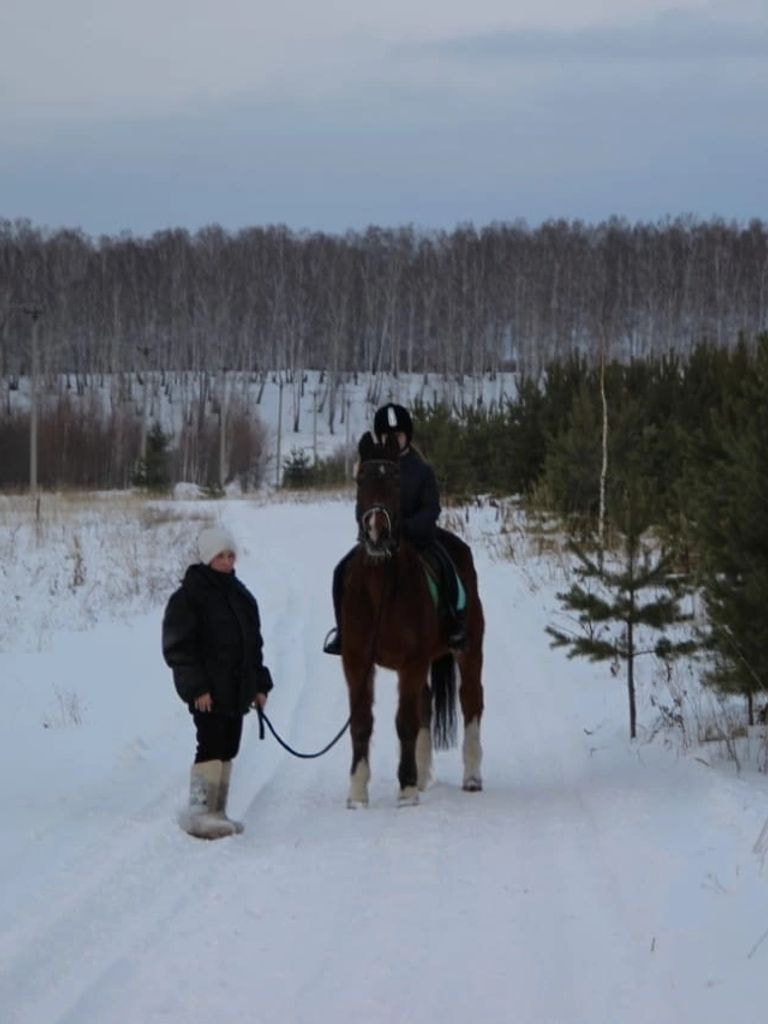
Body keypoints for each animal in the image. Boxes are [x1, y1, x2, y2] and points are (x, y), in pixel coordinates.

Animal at [339, 432, 483, 806]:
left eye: (395, 479)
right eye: (361, 479)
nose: (376, 531)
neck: (381, 590)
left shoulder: (412, 661)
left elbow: (404, 722)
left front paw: (405, 790)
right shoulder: (357, 662)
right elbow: (361, 722)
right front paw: (357, 794)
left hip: (469, 651)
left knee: (471, 701)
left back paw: (471, 777)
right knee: (426, 705)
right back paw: (422, 777)